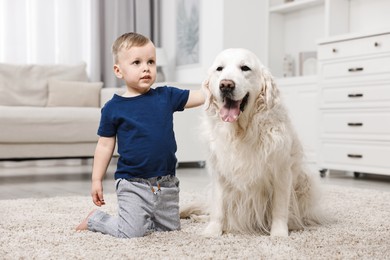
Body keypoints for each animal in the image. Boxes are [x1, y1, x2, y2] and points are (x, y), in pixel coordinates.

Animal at [181, 47, 326, 237]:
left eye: (245, 68)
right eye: (219, 69)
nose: (226, 85)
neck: (241, 131)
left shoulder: (281, 171)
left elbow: (279, 207)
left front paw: (279, 233)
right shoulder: (220, 170)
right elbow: (218, 207)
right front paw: (212, 231)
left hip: (306, 182)